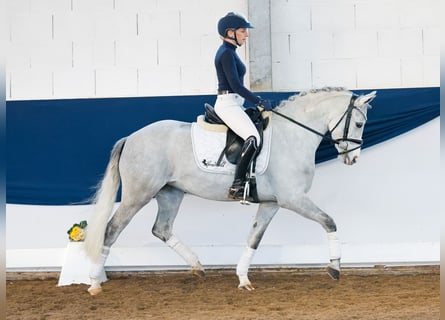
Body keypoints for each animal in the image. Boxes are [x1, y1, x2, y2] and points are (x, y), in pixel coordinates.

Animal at [83, 87, 374, 296]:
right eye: (359, 124)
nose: (353, 158)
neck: (292, 136)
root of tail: (131, 138)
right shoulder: (294, 199)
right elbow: (329, 221)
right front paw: (335, 267)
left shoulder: (272, 203)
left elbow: (254, 237)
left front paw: (243, 279)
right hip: (138, 194)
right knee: (112, 230)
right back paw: (94, 283)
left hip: (170, 193)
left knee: (161, 229)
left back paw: (198, 267)